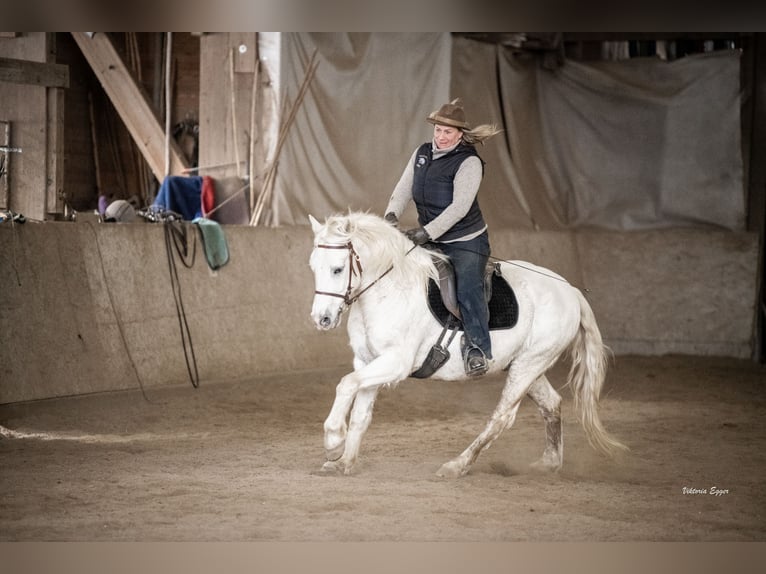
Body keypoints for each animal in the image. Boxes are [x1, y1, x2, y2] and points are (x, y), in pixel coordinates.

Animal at [308, 211, 627, 477]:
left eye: (337, 269)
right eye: (313, 267)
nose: (321, 319)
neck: (390, 289)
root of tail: (569, 290)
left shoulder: (395, 362)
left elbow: (346, 384)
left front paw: (333, 440)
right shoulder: (367, 360)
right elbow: (360, 412)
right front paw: (344, 461)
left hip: (530, 363)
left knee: (502, 417)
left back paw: (456, 465)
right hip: (527, 365)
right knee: (551, 404)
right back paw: (548, 464)